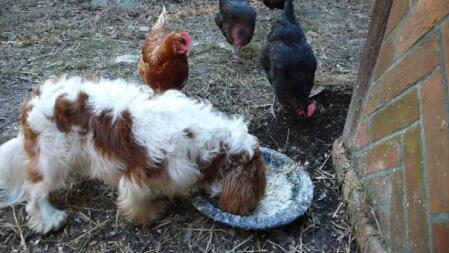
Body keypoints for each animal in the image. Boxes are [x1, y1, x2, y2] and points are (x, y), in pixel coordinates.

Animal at [0, 75, 266, 233]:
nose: (252, 207)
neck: (207, 144)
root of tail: (31, 99)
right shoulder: (139, 173)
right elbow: (137, 200)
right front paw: (150, 212)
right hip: (50, 159)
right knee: (35, 192)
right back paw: (49, 219)